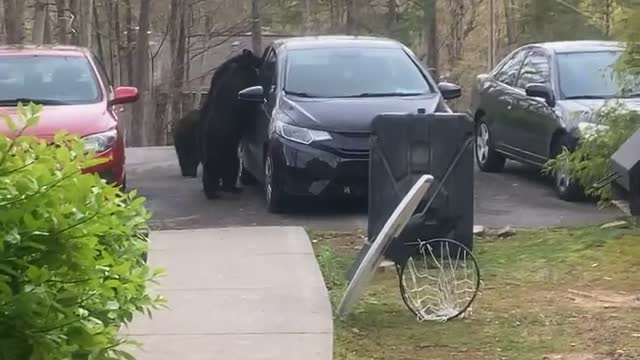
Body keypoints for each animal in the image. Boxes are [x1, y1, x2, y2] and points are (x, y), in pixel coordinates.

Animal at [200, 48, 260, 200]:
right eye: (257, 57)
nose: (261, 60)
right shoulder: (243, 80)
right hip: (222, 151)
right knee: (218, 172)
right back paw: (215, 192)